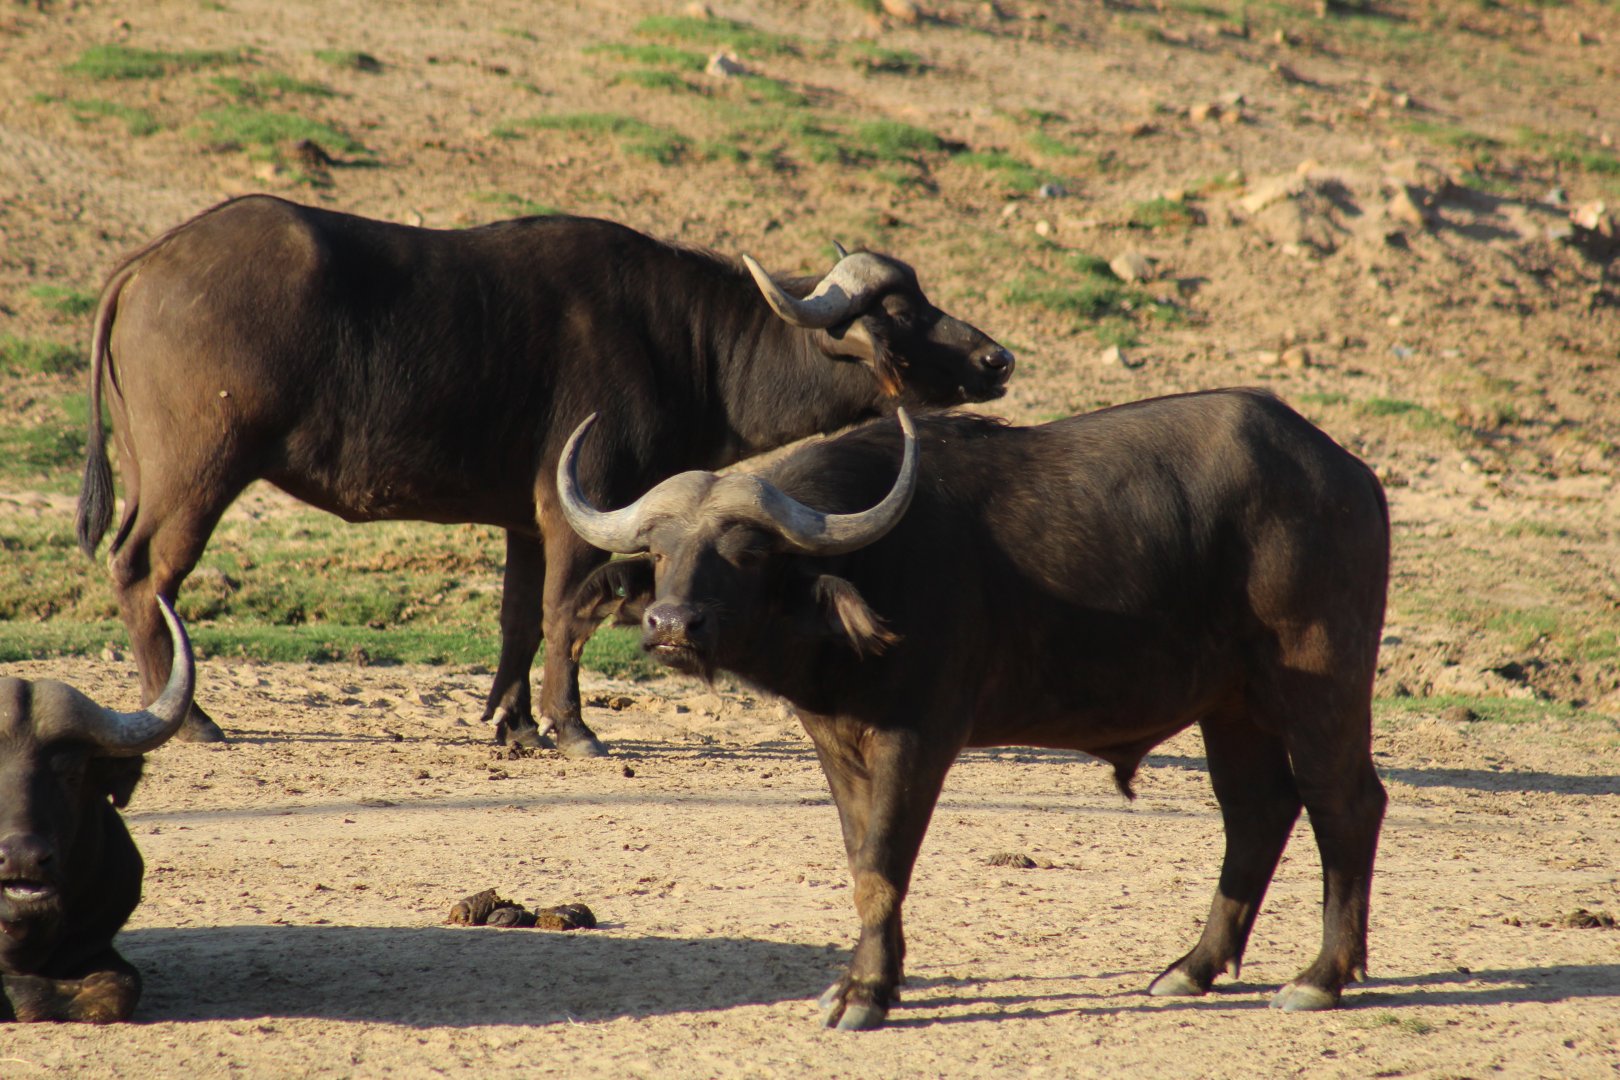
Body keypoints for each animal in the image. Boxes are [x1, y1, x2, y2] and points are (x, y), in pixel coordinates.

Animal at [75, 195, 1013, 757]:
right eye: (903, 311)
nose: (996, 358)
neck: (686, 342)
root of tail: (147, 264)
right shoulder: (580, 507)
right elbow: (568, 614)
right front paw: (571, 728)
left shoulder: (527, 520)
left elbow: (520, 620)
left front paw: (515, 723)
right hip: (199, 474)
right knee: (143, 572)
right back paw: (187, 717)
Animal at [560, 389, 1391, 1029]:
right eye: (661, 550)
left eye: (748, 552)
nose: (672, 625)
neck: (873, 568)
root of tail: (1349, 476)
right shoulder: (836, 741)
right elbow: (862, 859)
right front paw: (872, 979)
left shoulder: (920, 737)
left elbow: (884, 865)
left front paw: (866, 995)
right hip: (1233, 704)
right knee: (1257, 810)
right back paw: (1192, 967)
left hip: (1322, 682)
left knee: (1344, 803)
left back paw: (1320, 977)